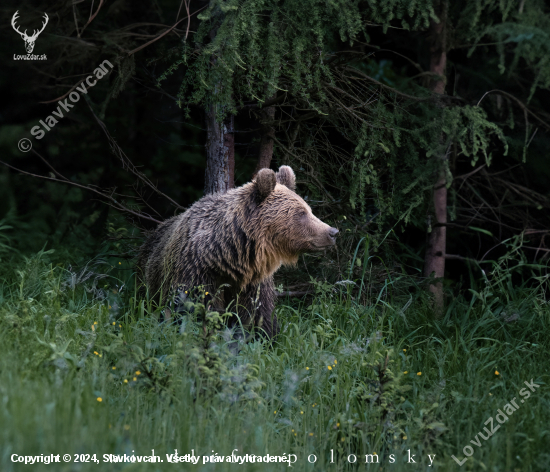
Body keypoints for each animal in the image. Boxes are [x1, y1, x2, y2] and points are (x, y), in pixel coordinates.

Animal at [138, 165, 336, 336]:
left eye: (309, 210)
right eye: (301, 213)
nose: (333, 232)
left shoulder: (252, 282)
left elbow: (257, 314)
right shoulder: (195, 272)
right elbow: (194, 309)